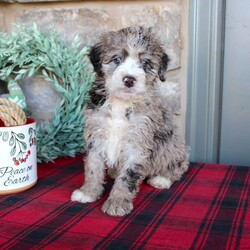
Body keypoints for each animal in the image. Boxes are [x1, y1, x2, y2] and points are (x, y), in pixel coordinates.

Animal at [71, 26, 188, 216]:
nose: (129, 79)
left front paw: (117, 202)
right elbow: (93, 167)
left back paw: (162, 179)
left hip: (172, 145)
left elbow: (128, 176)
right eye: (116, 59)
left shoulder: (137, 142)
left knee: (178, 166)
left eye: (146, 63)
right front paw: (88, 192)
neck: (122, 102)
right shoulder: (96, 135)